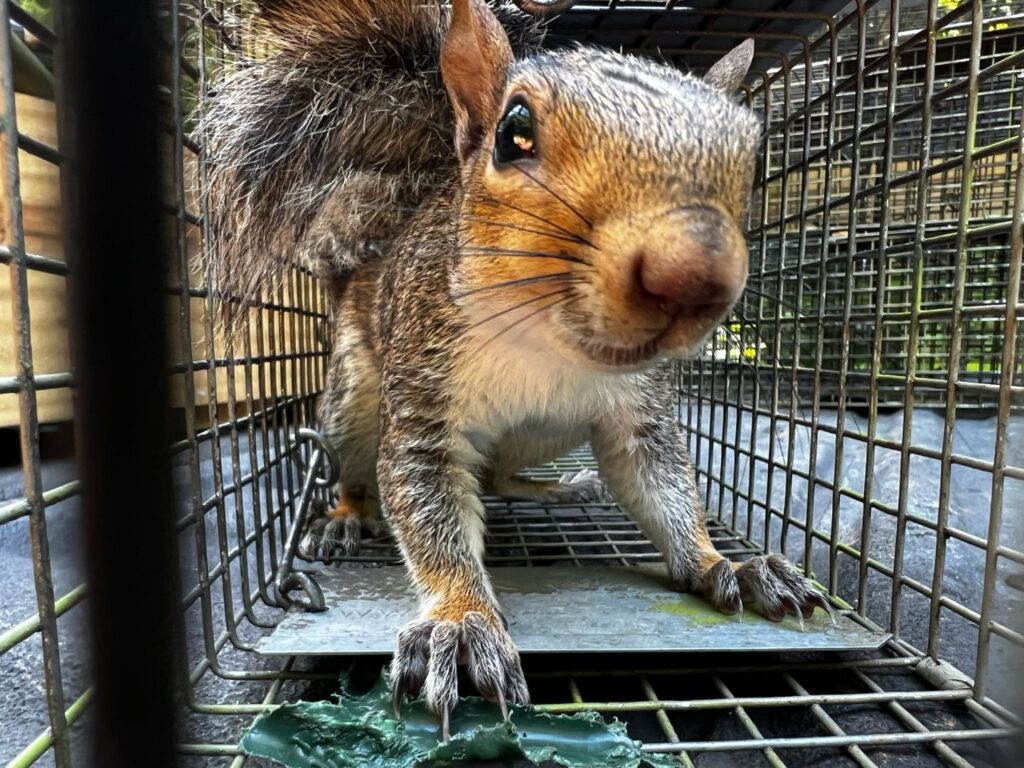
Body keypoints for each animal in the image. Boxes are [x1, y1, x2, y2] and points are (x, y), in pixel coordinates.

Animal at [201, 0, 831, 736]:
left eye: (753, 156)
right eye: (514, 133)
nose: (696, 276)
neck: (547, 341)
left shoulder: (638, 416)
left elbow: (664, 491)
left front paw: (719, 563)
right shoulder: (423, 407)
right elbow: (429, 509)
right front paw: (459, 621)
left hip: (543, 433)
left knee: (500, 476)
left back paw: (559, 489)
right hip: (355, 401)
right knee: (360, 466)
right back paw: (345, 516)